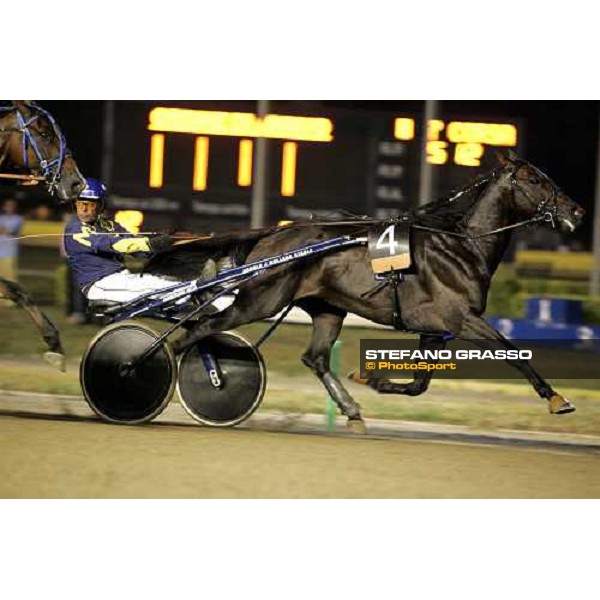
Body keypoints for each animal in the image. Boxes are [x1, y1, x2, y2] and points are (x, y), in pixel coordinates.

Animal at [146, 150, 584, 432]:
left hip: (327, 308)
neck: (463, 244)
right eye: (535, 180)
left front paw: (371, 380)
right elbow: (513, 353)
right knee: (198, 328)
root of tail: (274, 236)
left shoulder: (434, 330)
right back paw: (148, 366)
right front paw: (556, 399)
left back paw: (352, 410)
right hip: (261, 299)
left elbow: (420, 385)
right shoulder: (462, 319)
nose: (577, 211)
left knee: (314, 357)